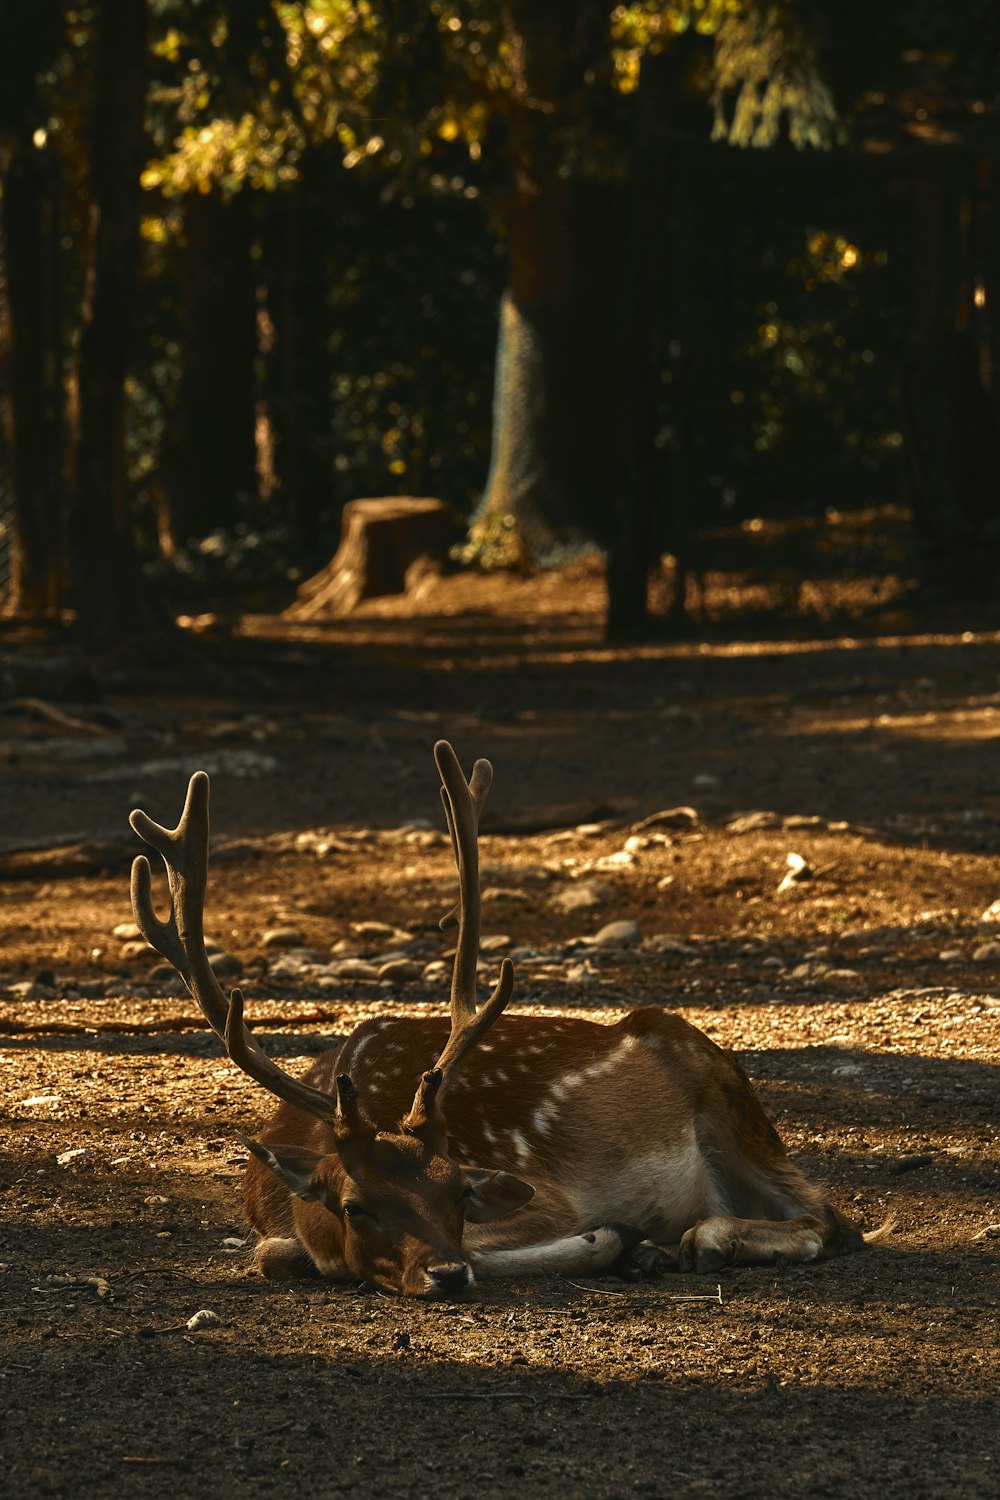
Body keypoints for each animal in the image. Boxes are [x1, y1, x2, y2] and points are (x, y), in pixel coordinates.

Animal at [128, 741, 869, 1302]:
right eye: (357, 1205)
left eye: (459, 1188)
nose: (445, 1274)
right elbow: (276, 1255)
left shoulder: (543, 1194)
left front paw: (618, 1240)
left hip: (734, 1106)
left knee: (831, 1216)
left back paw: (701, 1238)